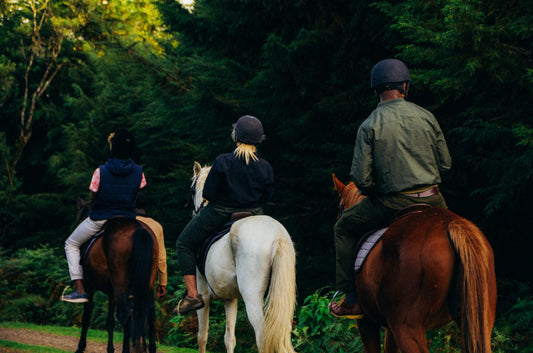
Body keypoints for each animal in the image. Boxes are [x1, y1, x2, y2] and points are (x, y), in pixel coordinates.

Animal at [75, 201, 158, 352]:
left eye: (81, 217)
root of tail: (138, 229)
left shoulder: (90, 287)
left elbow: (86, 317)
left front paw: (80, 347)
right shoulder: (112, 293)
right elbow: (110, 321)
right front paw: (110, 349)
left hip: (120, 284)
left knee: (125, 315)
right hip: (147, 284)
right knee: (150, 314)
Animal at [187, 160, 296, 352]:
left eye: (192, 189)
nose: (195, 212)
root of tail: (276, 235)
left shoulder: (203, 296)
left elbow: (202, 336)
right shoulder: (230, 299)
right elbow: (229, 338)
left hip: (252, 297)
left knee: (262, 335)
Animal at [330, 174, 496, 352]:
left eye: (340, 207)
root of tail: (451, 223)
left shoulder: (366, 321)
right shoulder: (389, 327)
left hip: (406, 327)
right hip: (479, 322)